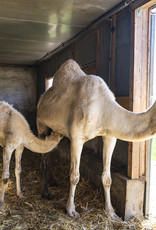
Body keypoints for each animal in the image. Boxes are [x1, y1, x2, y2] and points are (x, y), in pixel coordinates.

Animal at [36, 59, 156, 219]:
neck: (103, 109)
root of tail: (42, 99)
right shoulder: (77, 138)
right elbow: (74, 176)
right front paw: (71, 210)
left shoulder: (110, 136)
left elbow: (107, 178)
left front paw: (111, 212)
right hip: (41, 124)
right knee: (44, 159)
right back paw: (46, 193)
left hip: (56, 131)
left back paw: (54, 181)